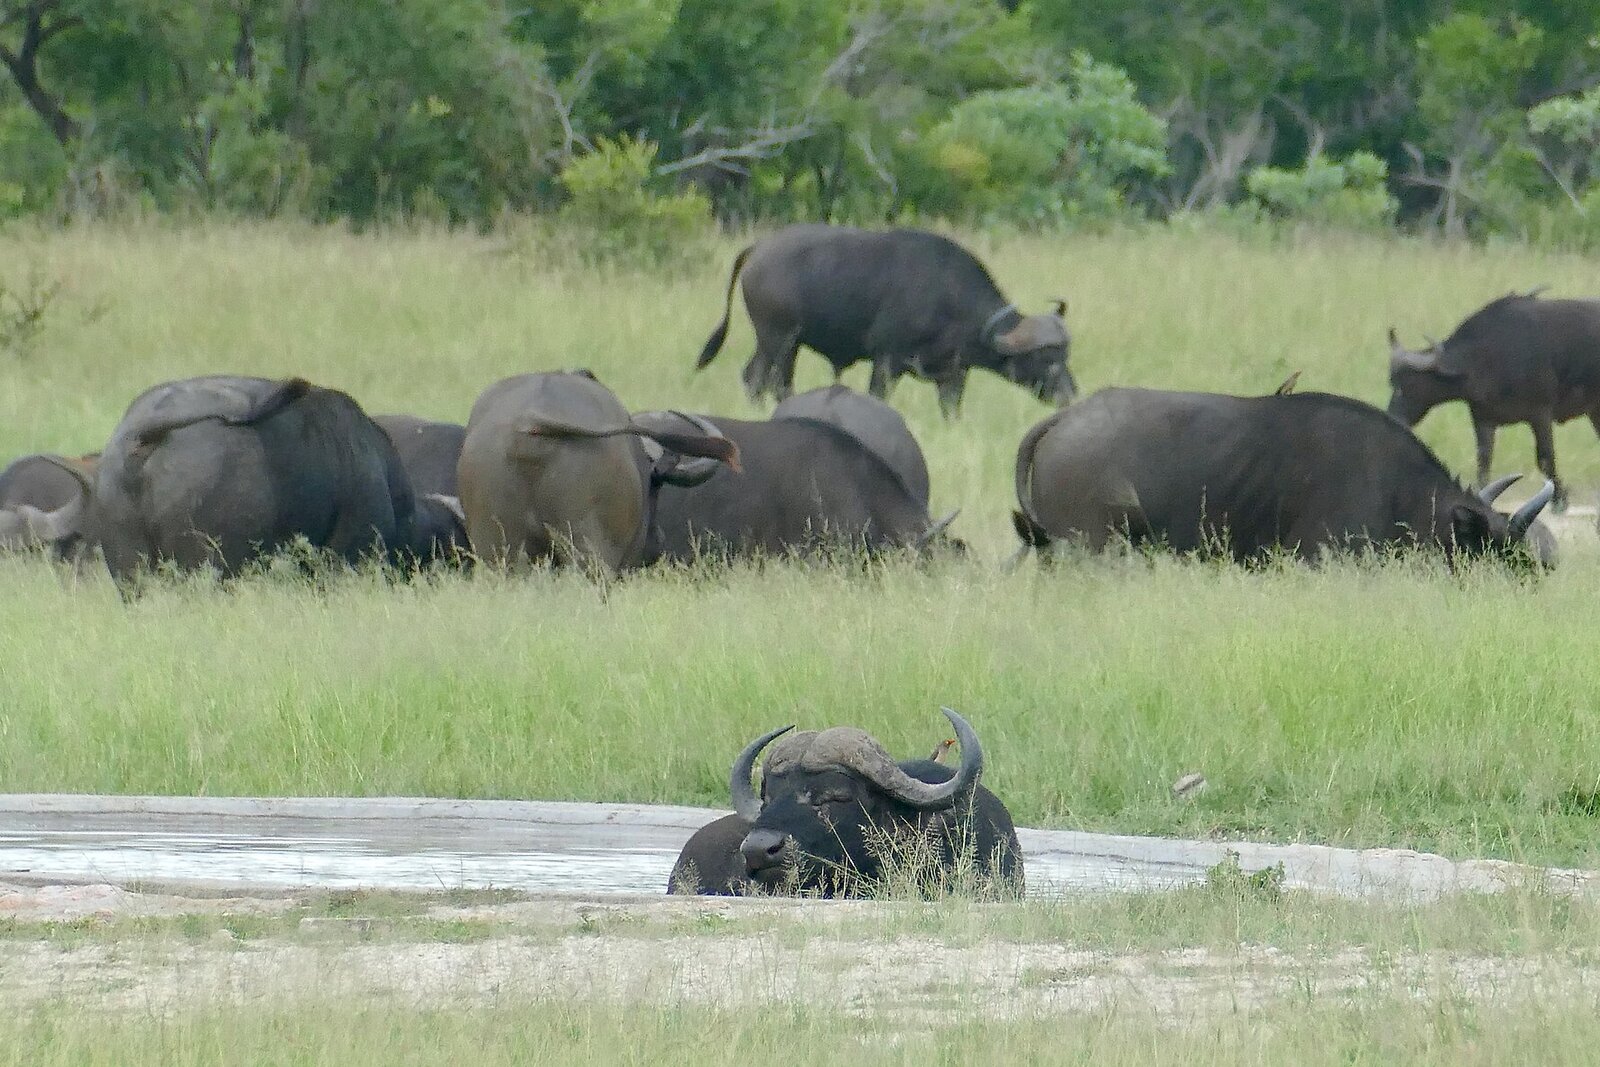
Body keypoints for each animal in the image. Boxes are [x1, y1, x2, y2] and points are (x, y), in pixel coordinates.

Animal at [695, 224, 1073, 417]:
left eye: (1066, 355)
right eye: (1045, 358)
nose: (1070, 395)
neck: (948, 297)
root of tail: (758, 249)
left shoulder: (953, 374)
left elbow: (951, 410)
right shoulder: (887, 361)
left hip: (785, 345)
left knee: (772, 382)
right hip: (777, 339)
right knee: (760, 380)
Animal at [1387, 289, 1600, 511]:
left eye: (1405, 386)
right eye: (1392, 382)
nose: (1394, 418)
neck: (1488, 357)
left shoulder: (1540, 414)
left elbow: (1545, 457)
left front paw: (1559, 500)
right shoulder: (1483, 419)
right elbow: (1483, 461)